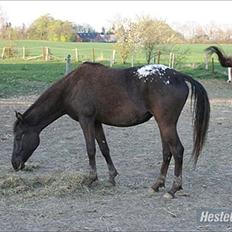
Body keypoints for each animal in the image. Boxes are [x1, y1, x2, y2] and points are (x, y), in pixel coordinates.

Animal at [11, 61, 210, 198]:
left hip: (166, 123)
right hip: (163, 125)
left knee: (177, 150)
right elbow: (104, 148)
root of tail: (180, 76)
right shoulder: (96, 122)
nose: (14, 164)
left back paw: (173, 189)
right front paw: (111, 177)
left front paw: (91, 179)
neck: (72, 87)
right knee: (167, 152)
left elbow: (91, 149)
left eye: (19, 137)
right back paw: (156, 185)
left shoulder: (86, 121)